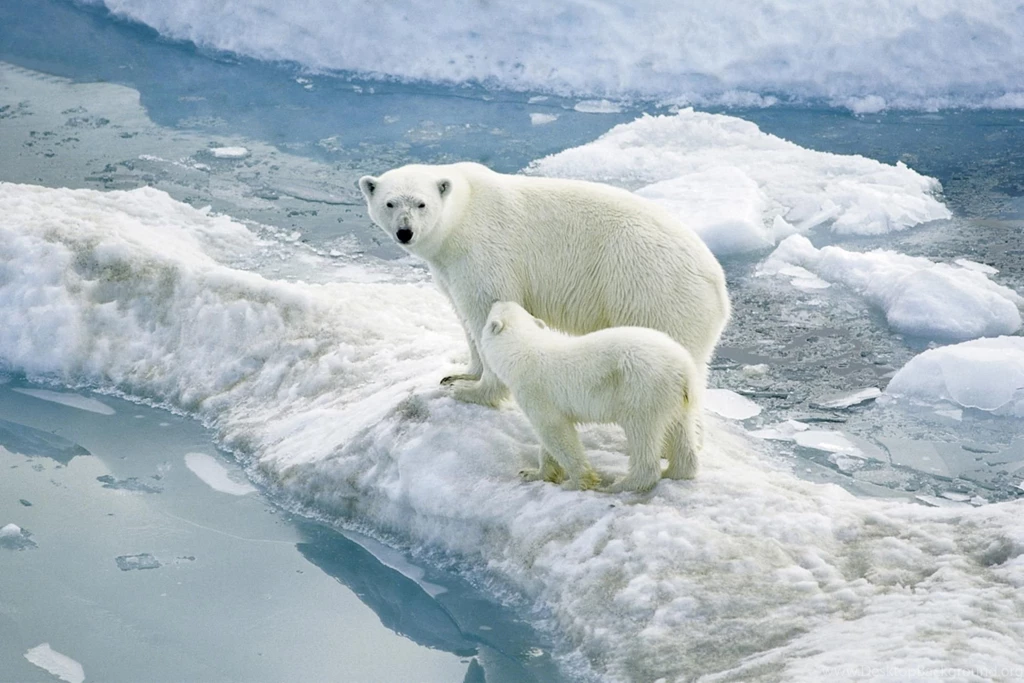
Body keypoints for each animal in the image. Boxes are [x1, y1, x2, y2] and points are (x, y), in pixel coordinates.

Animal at [359, 161, 730, 460]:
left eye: (421, 203)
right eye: (390, 203)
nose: (404, 232)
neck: (461, 214)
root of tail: (719, 287)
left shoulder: (483, 252)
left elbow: (485, 310)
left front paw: (473, 392)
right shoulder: (448, 268)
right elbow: (464, 317)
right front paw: (460, 374)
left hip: (652, 293)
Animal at [480, 301, 700, 492]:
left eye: (493, 310)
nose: (496, 300)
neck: (523, 349)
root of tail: (684, 368)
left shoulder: (536, 390)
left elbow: (555, 431)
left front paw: (577, 482)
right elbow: (550, 439)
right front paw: (533, 473)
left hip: (642, 388)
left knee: (641, 431)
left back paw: (622, 484)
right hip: (674, 398)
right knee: (680, 430)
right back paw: (675, 471)